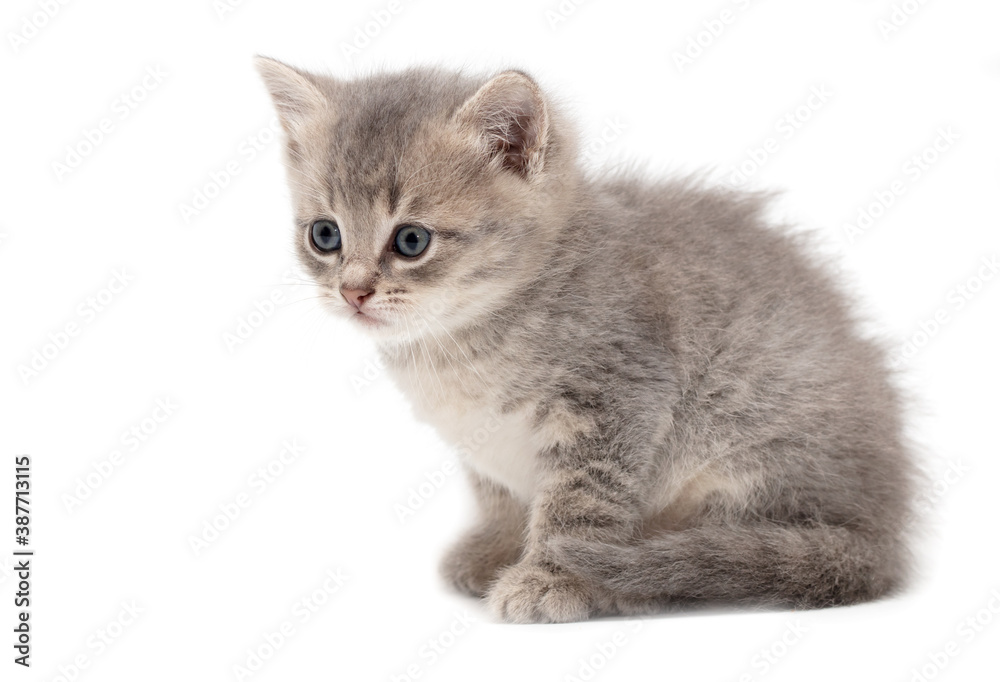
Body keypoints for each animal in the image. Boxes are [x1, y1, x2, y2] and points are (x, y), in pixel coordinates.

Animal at [256, 58, 916, 620]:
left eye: (411, 240)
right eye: (324, 235)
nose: (353, 292)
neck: (462, 344)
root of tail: (882, 531)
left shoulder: (619, 395)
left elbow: (579, 505)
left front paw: (552, 580)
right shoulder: (485, 439)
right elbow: (500, 495)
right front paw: (497, 550)